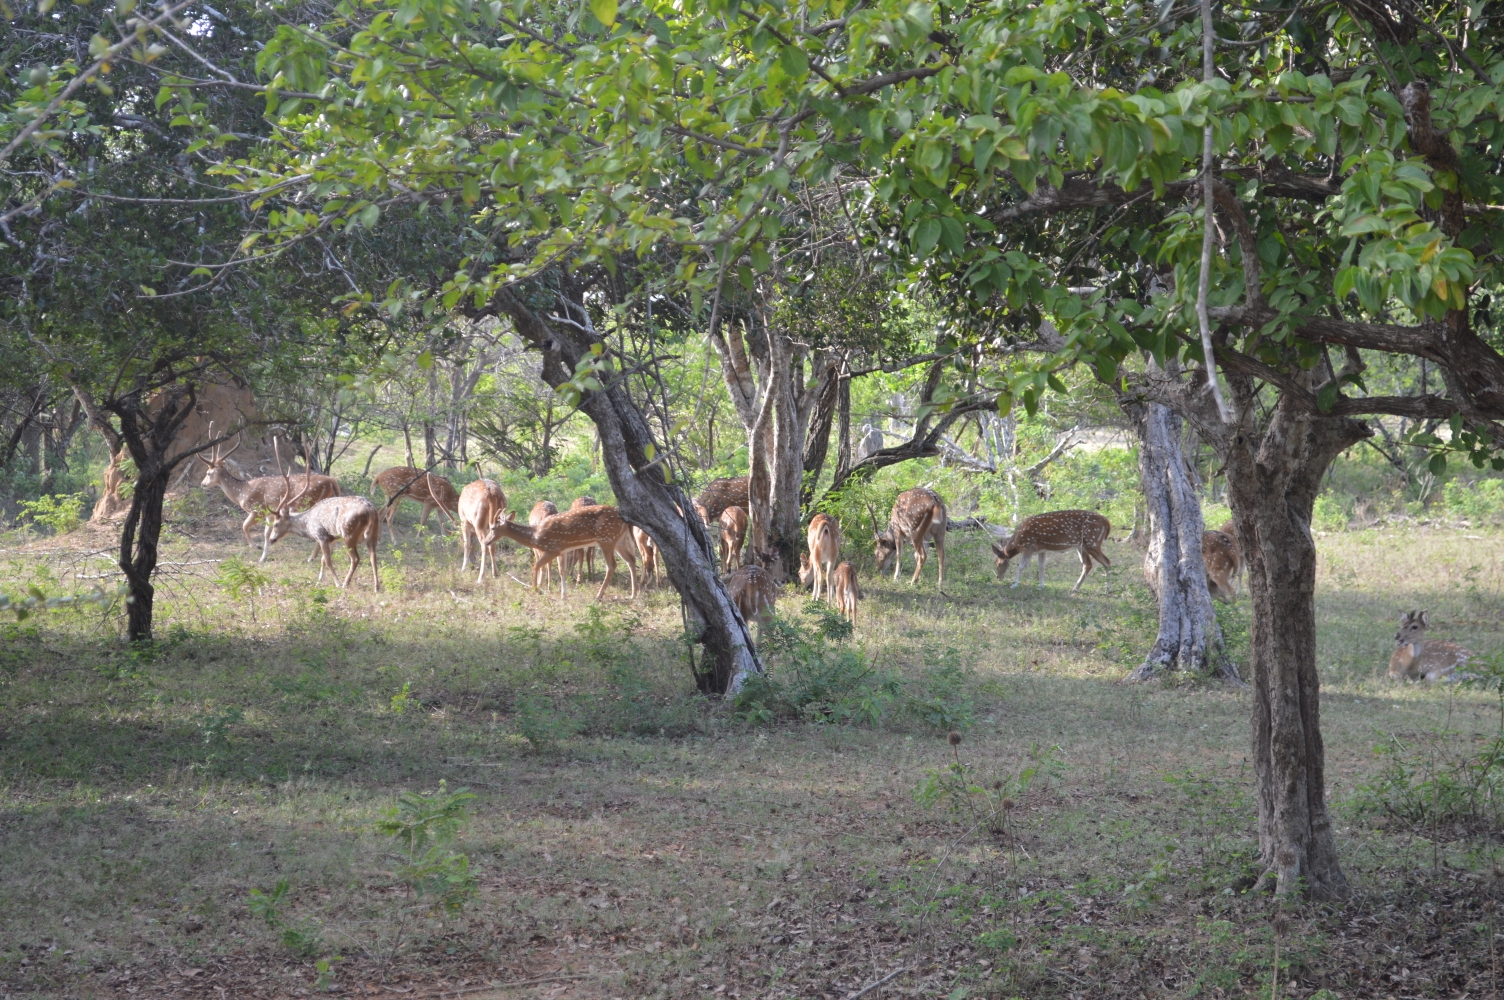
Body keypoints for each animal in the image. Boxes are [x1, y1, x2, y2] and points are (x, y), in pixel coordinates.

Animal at [197, 424, 341, 556]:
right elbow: (266, 533)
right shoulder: (270, 514)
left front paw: (255, 546)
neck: (241, 492)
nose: (202, 484)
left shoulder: (257, 509)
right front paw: (264, 551)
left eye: (208, 473)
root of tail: (332, 481)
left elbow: (244, 525)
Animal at [267, 442, 382, 586]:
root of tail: (371, 510)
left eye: (275, 524)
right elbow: (323, 559)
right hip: (373, 533)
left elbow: (327, 560)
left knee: (356, 558)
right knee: (373, 557)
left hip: (349, 534)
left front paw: (336, 582)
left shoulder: (321, 536)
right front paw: (319, 580)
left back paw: (345, 583)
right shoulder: (333, 538)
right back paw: (376, 586)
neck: (308, 525)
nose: (271, 539)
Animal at [493, 502, 634, 595]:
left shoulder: (552, 549)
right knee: (631, 559)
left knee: (611, 565)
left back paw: (599, 595)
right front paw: (562, 594)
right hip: (619, 541)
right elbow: (562, 570)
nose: (488, 541)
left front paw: (535, 588)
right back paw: (634, 594)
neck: (535, 535)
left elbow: (537, 565)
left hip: (606, 539)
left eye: (492, 528)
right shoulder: (562, 551)